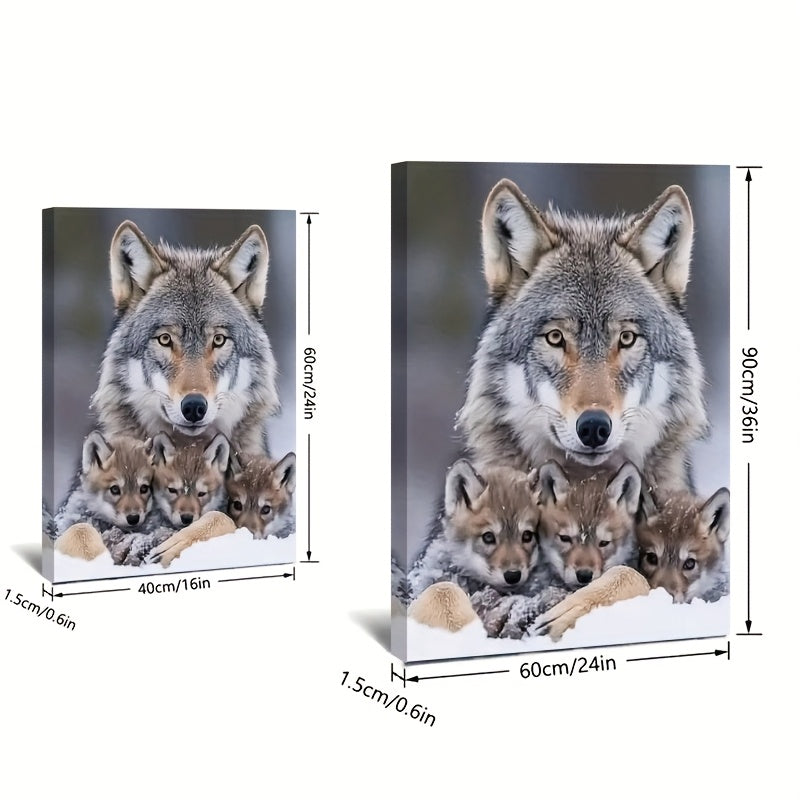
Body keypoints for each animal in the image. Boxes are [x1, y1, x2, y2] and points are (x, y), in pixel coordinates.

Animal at [55, 220, 279, 563]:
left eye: (218, 340)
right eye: (164, 340)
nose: (194, 407)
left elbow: (222, 518)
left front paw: (175, 542)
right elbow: (78, 530)